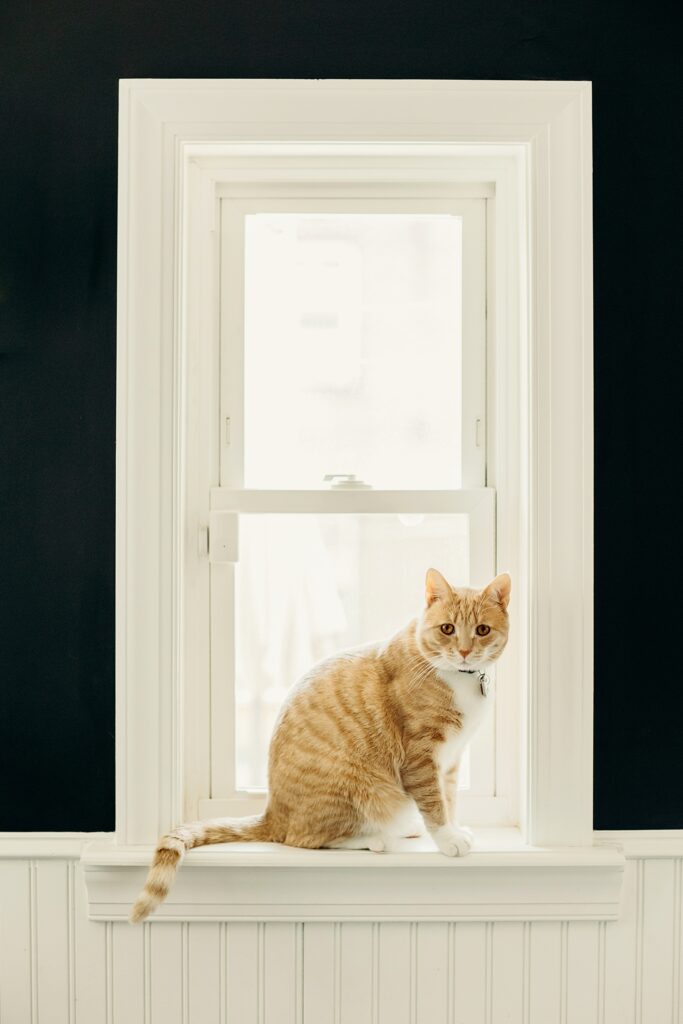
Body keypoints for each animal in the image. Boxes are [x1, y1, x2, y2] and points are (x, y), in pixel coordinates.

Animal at [131, 569, 509, 921]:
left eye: (482, 630)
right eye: (447, 629)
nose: (464, 651)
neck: (458, 678)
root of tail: (273, 813)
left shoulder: (451, 758)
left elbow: (449, 798)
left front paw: (454, 829)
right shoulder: (420, 756)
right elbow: (434, 802)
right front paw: (447, 839)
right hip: (357, 788)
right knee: (306, 839)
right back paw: (375, 839)